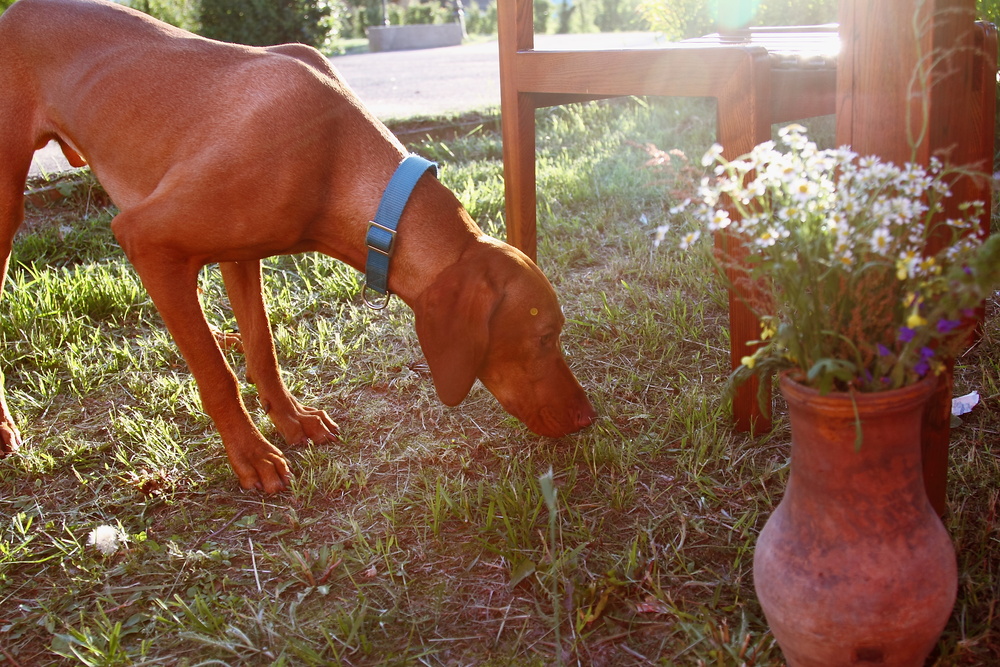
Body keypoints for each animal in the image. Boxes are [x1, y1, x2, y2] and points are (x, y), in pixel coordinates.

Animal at [0, 0, 592, 494]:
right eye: (544, 336)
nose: (589, 416)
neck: (335, 159)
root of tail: (20, 8)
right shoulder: (146, 238)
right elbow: (216, 375)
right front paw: (251, 455)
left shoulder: (240, 252)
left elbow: (263, 346)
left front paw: (290, 420)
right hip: (7, 203)